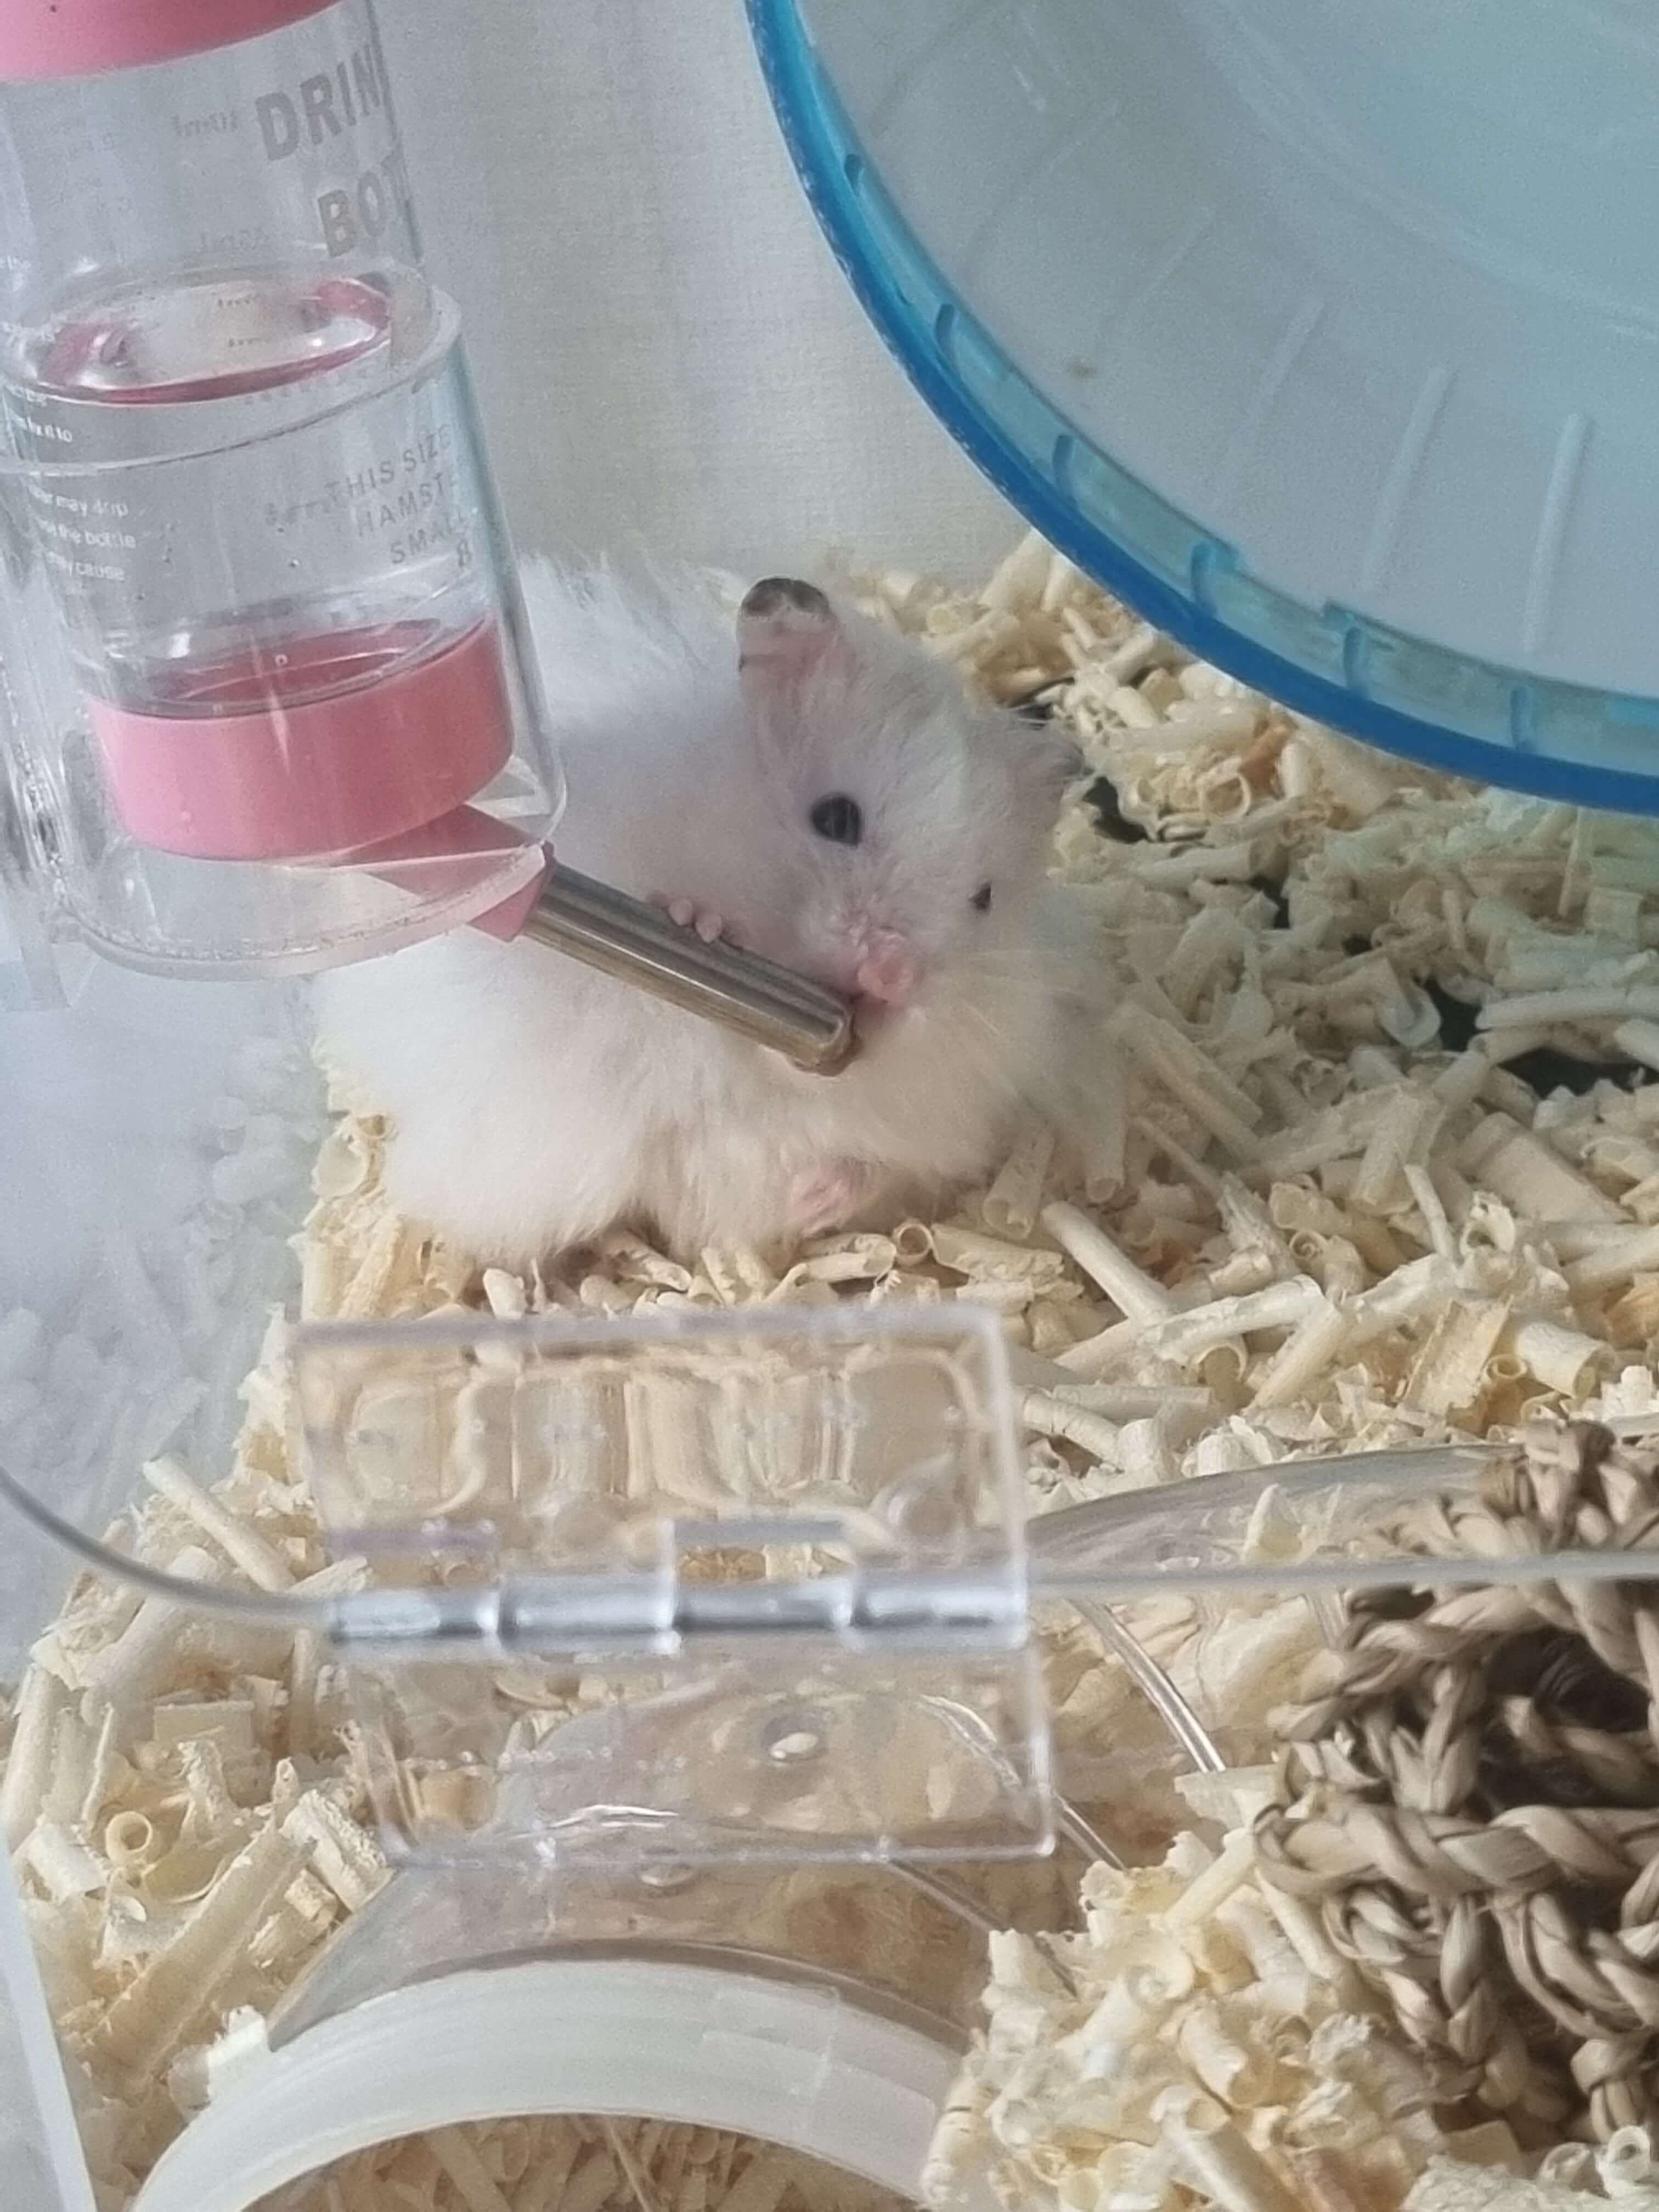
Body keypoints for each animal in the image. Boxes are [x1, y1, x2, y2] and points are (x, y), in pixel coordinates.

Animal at [314, 561, 1099, 1264]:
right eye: (836, 818)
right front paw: (698, 922)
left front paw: (822, 1194)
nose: (892, 975)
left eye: (985, 898)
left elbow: (861, 1171)